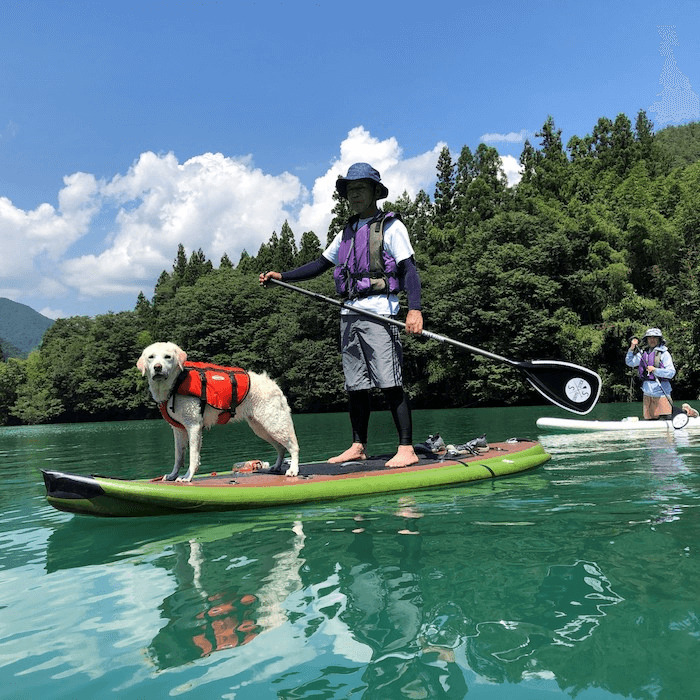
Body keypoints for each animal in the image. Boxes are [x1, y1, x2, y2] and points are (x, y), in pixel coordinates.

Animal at [138, 340, 300, 482]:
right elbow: (178, 456)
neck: (177, 382)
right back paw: (277, 467)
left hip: (274, 423)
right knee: (281, 448)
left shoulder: (193, 426)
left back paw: (293, 469)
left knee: (293, 446)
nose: (157, 367)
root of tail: (274, 384)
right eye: (151, 357)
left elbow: (193, 456)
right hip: (261, 428)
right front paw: (173, 475)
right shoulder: (178, 429)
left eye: (168, 357)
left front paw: (187, 477)